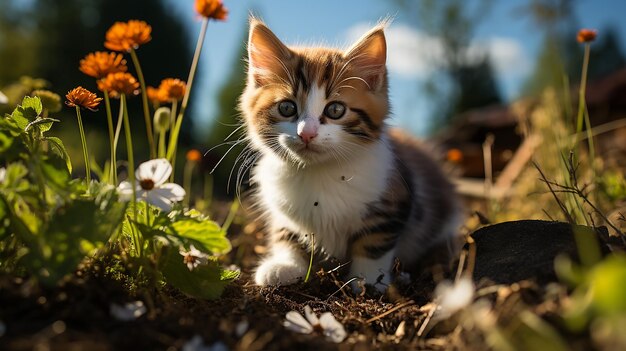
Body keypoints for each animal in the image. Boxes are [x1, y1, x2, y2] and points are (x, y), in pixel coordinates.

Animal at [238, 20, 458, 294]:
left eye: (335, 110)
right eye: (287, 108)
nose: (306, 133)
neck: (319, 171)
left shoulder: (393, 200)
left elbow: (374, 243)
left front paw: (368, 280)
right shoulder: (282, 211)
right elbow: (287, 234)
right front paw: (286, 265)